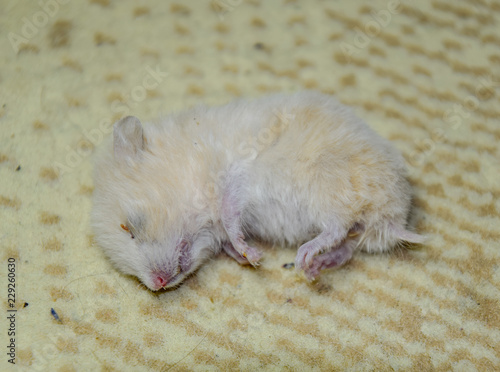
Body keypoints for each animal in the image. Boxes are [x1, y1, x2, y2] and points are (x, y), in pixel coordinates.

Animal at [92, 91, 424, 290]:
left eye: (127, 227)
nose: (158, 284)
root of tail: (393, 217)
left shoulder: (239, 176)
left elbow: (230, 215)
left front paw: (253, 255)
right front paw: (245, 256)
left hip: (326, 187)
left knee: (336, 228)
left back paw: (304, 259)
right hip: (354, 220)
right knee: (346, 245)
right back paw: (316, 268)